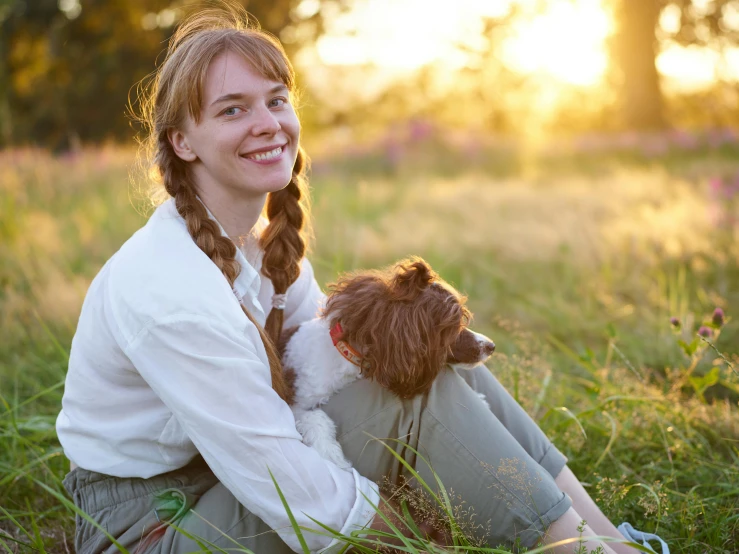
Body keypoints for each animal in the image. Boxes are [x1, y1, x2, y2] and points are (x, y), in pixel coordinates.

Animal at [280, 256, 494, 464]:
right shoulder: (296, 401)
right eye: (454, 327)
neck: (345, 355)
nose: (491, 346)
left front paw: (481, 400)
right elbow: (315, 417)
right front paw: (332, 455)